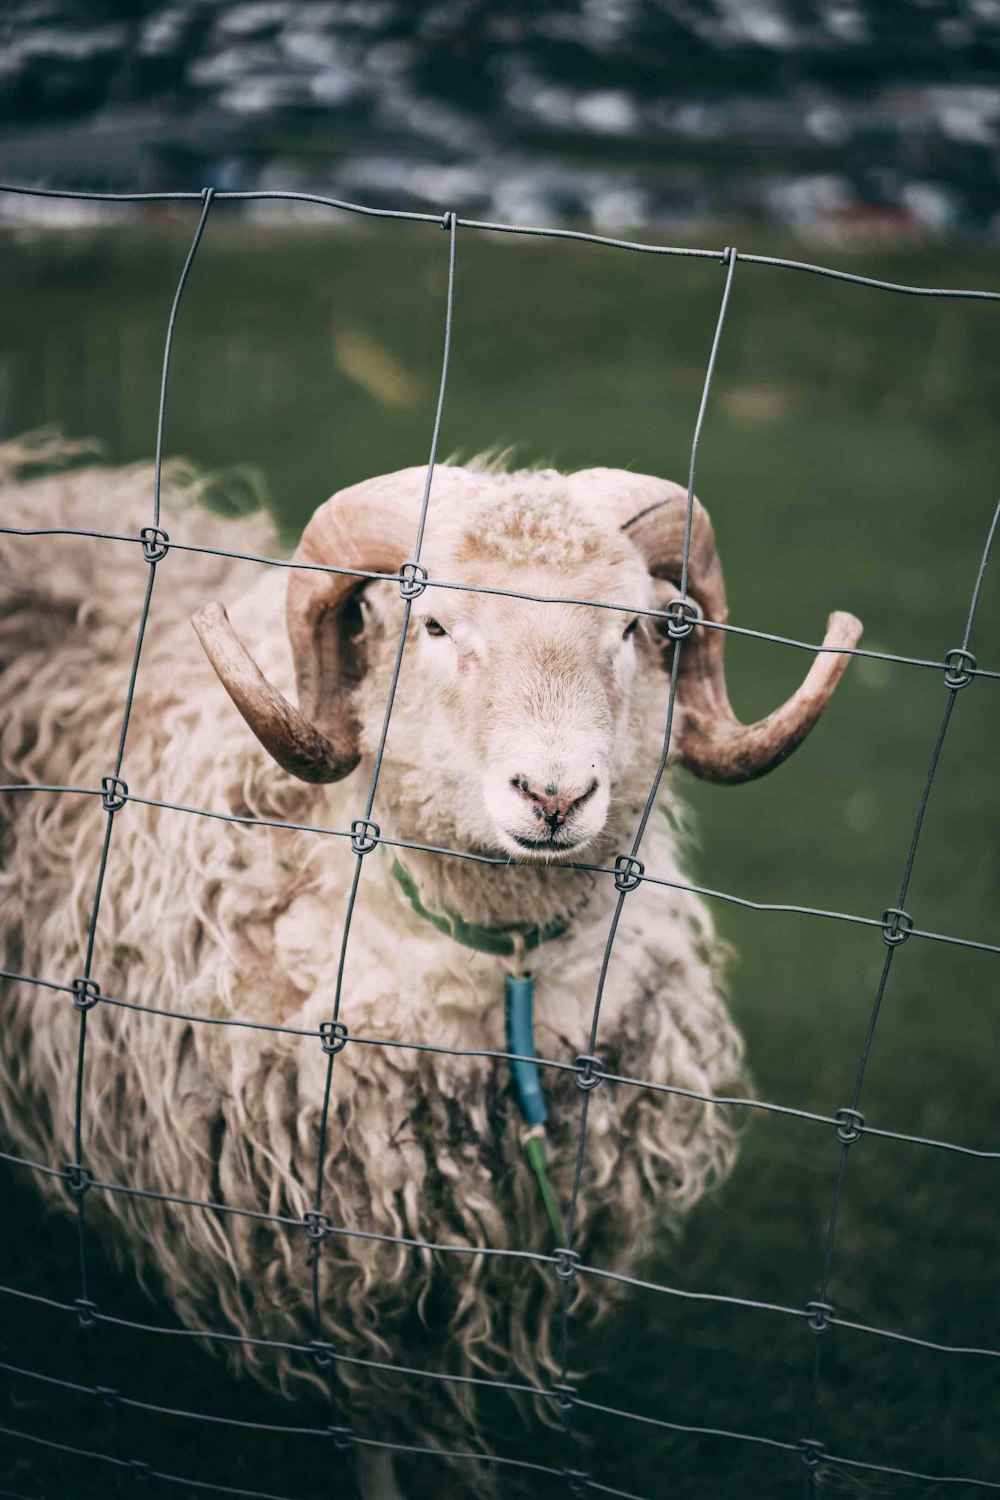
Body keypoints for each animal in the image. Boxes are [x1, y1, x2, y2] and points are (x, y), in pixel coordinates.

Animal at [0, 438, 863, 1500]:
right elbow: (380, 1414)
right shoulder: (345, 1239)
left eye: (632, 627)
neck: (504, 976)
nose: (555, 796)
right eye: (436, 623)